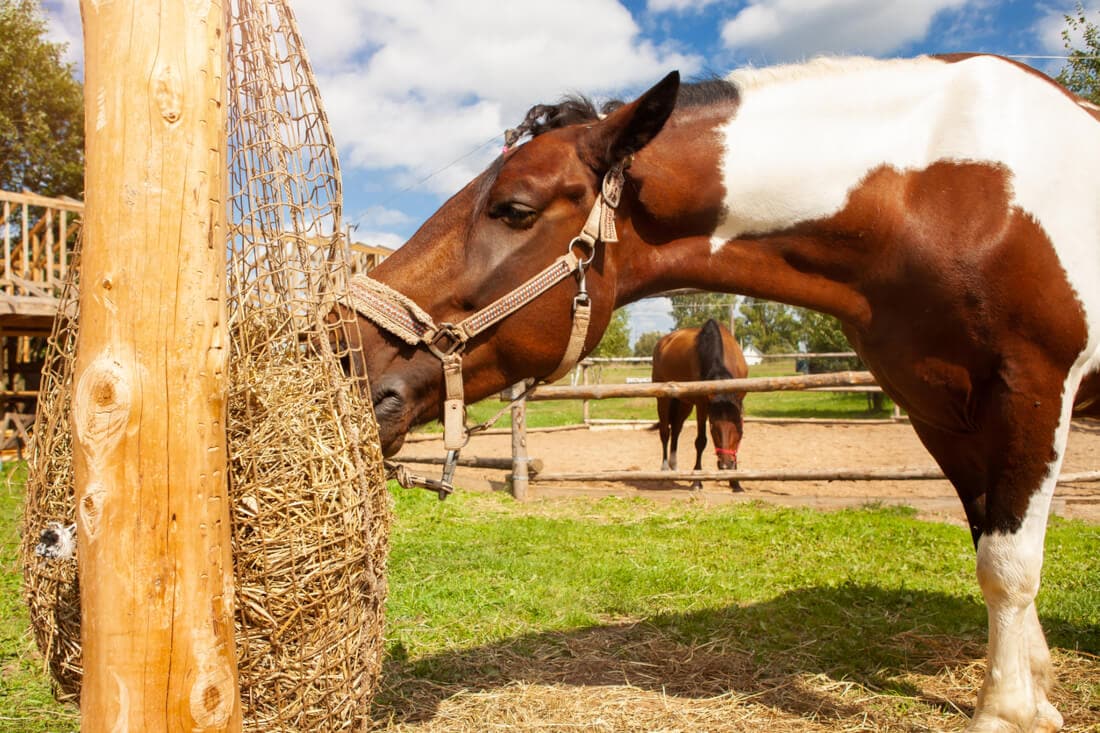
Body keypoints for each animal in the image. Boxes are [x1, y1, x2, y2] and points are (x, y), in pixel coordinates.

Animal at [652, 319, 748, 491]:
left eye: (738, 429)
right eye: (713, 428)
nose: (725, 465)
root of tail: (663, 342)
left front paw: (735, 482)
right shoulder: (702, 406)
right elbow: (700, 441)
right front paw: (697, 481)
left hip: (683, 403)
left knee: (676, 429)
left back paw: (674, 466)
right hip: (663, 399)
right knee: (665, 432)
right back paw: (665, 469)